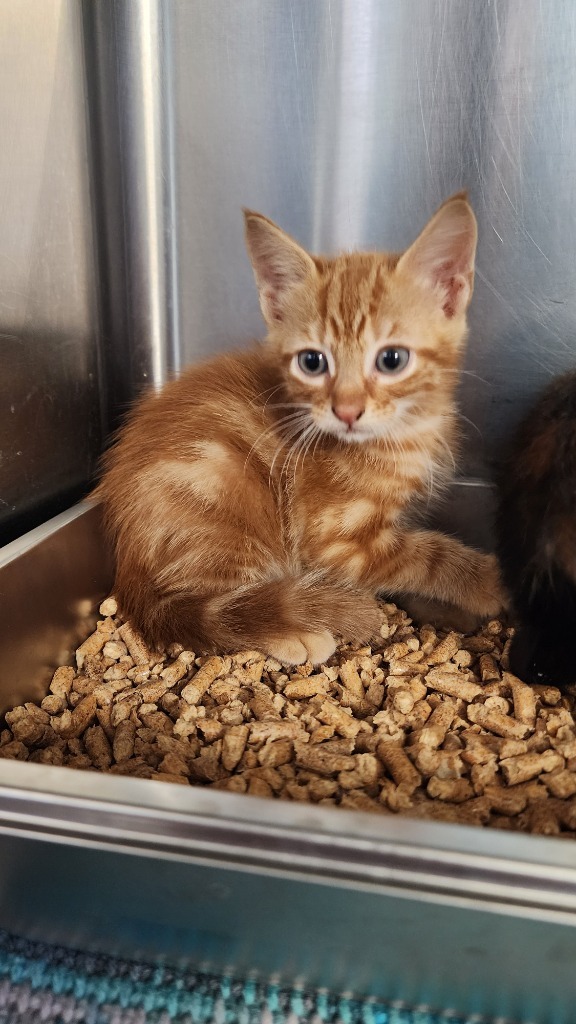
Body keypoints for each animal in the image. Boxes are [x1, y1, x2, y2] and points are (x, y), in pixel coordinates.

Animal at [96, 193, 504, 663]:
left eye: (392, 360)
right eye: (312, 362)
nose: (347, 410)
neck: (406, 432)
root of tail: (128, 561)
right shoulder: (339, 542)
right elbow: (429, 556)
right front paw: (488, 581)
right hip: (220, 497)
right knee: (210, 607)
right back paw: (297, 634)